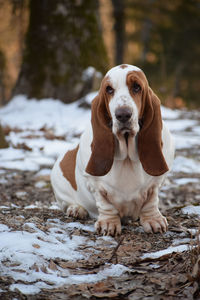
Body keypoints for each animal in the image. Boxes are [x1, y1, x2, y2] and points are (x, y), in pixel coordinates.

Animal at [50, 63, 174, 237]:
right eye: (109, 89)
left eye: (137, 87)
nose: (123, 115)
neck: (127, 156)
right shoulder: (95, 185)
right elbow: (105, 205)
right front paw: (108, 224)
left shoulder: (156, 183)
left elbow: (151, 201)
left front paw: (153, 220)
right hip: (58, 182)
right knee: (66, 204)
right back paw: (76, 209)